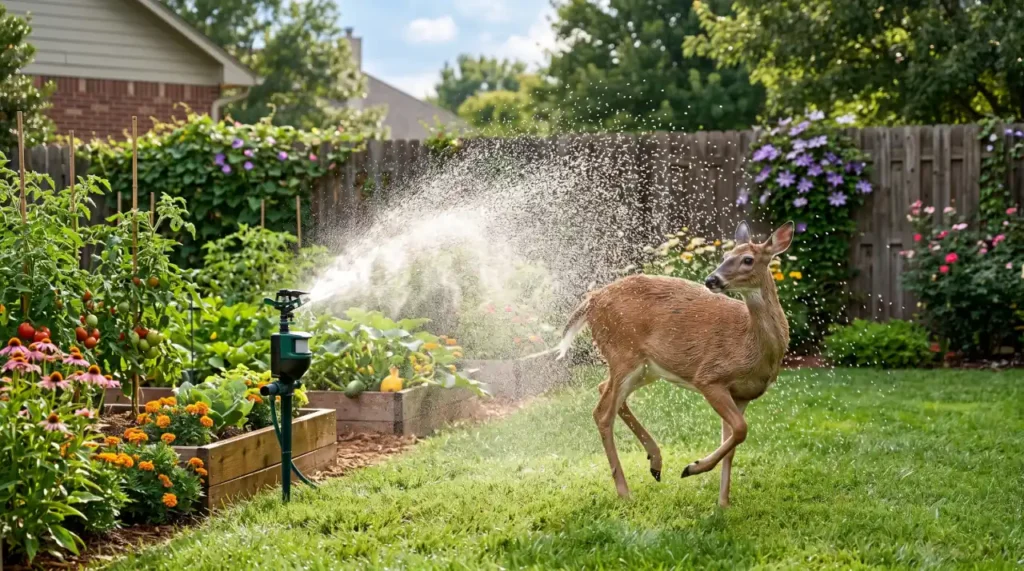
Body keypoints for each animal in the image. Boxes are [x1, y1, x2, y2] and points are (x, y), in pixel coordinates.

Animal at [551, 220, 793, 506]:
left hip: (646, 368)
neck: (752, 347)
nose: (711, 279)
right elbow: (741, 430)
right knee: (602, 412)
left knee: (604, 391)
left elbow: (734, 440)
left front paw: (723, 503)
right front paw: (693, 468)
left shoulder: (743, 395)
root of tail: (591, 300)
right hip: (624, 353)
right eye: (724, 256)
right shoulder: (709, 377)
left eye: (748, 259)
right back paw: (625, 491)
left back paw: (655, 463)